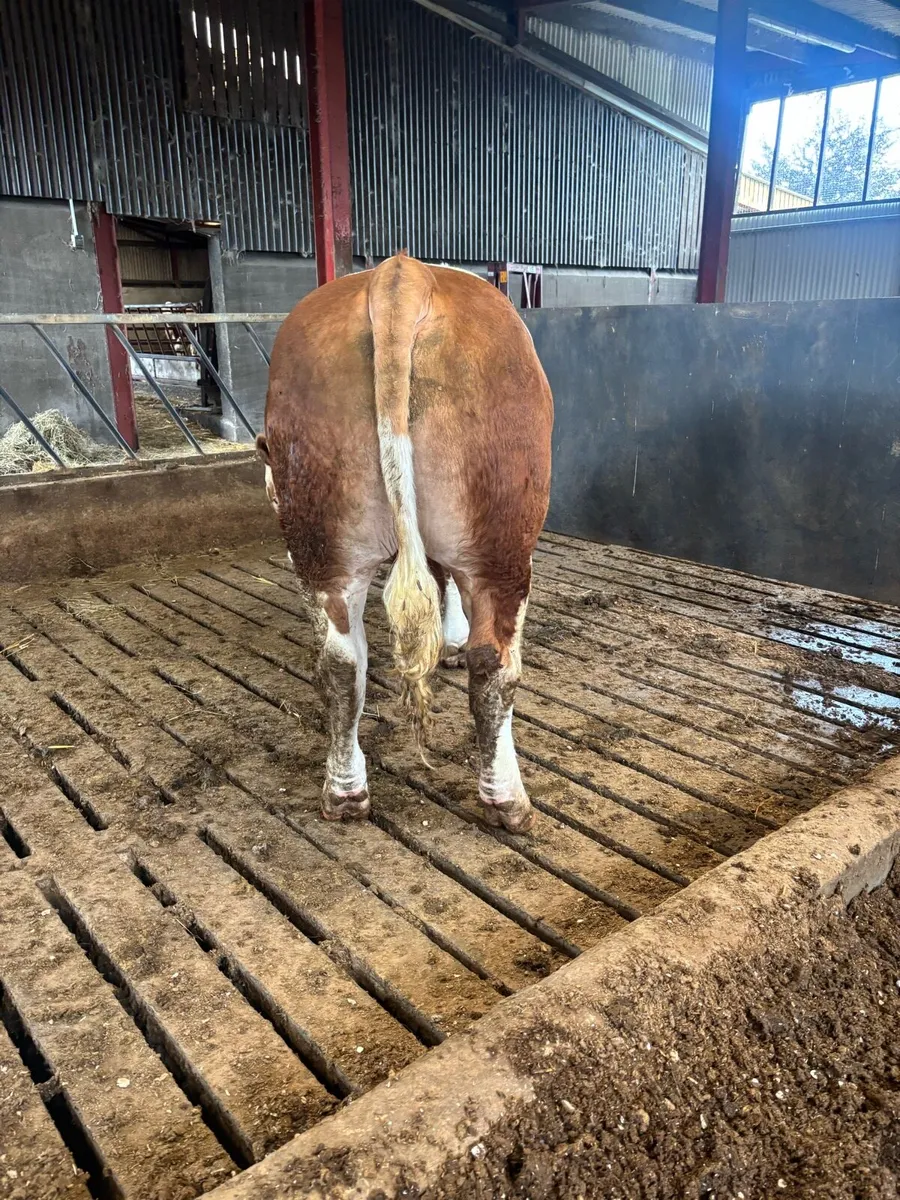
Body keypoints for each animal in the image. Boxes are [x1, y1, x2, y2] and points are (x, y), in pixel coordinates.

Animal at [256, 252, 553, 833]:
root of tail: (401, 274)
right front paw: (453, 641)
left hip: (322, 540)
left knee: (340, 664)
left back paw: (344, 793)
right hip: (504, 541)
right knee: (494, 667)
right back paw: (508, 800)